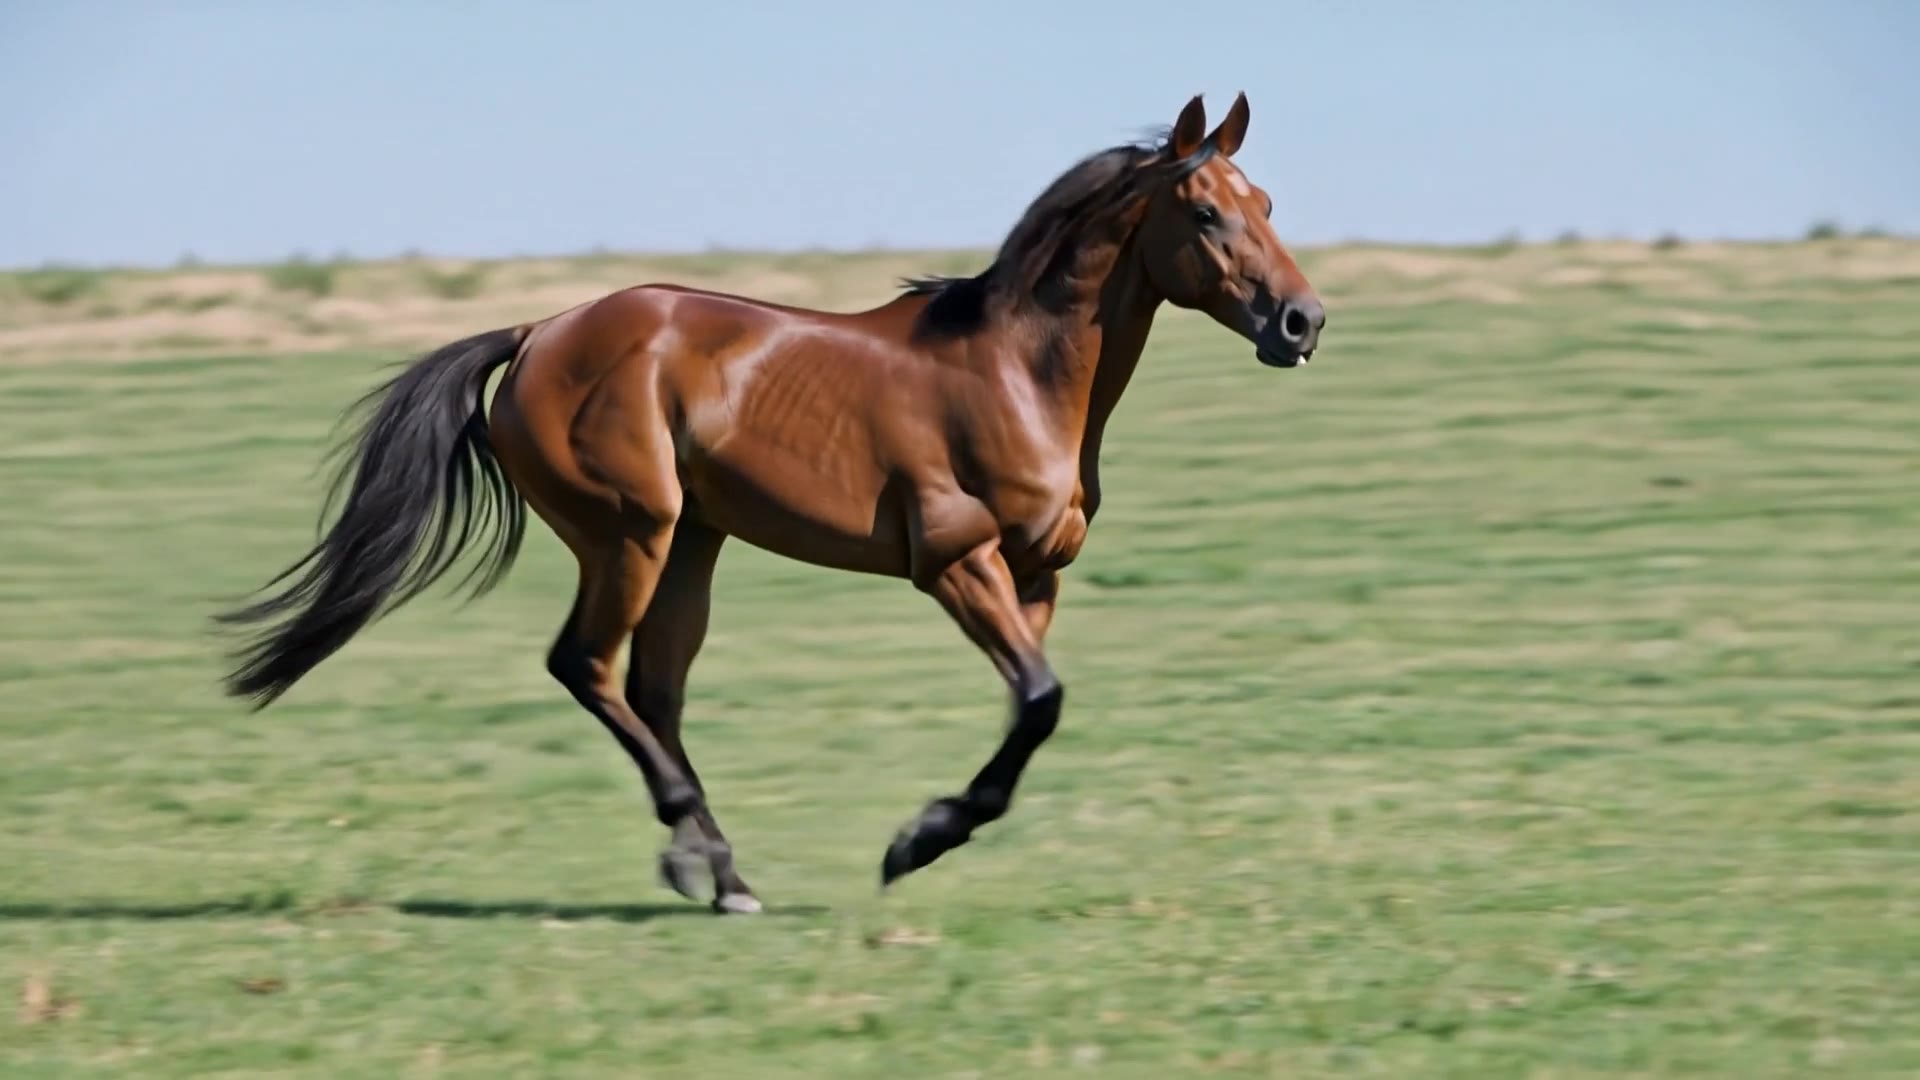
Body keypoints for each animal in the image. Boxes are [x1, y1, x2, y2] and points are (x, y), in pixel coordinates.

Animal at [214, 91, 1326, 913]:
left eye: (1268, 202)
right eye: (1206, 212)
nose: (1302, 321)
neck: (1015, 373)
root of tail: (536, 337)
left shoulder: (1036, 574)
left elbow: (1029, 708)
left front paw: (932, 832)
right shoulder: (955, 563)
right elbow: (1042, 701)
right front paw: (914, 842)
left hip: (694, 542)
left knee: (653, 690)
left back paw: (725, 872)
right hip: (630, 532)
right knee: (587, 666)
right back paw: (693, 855)